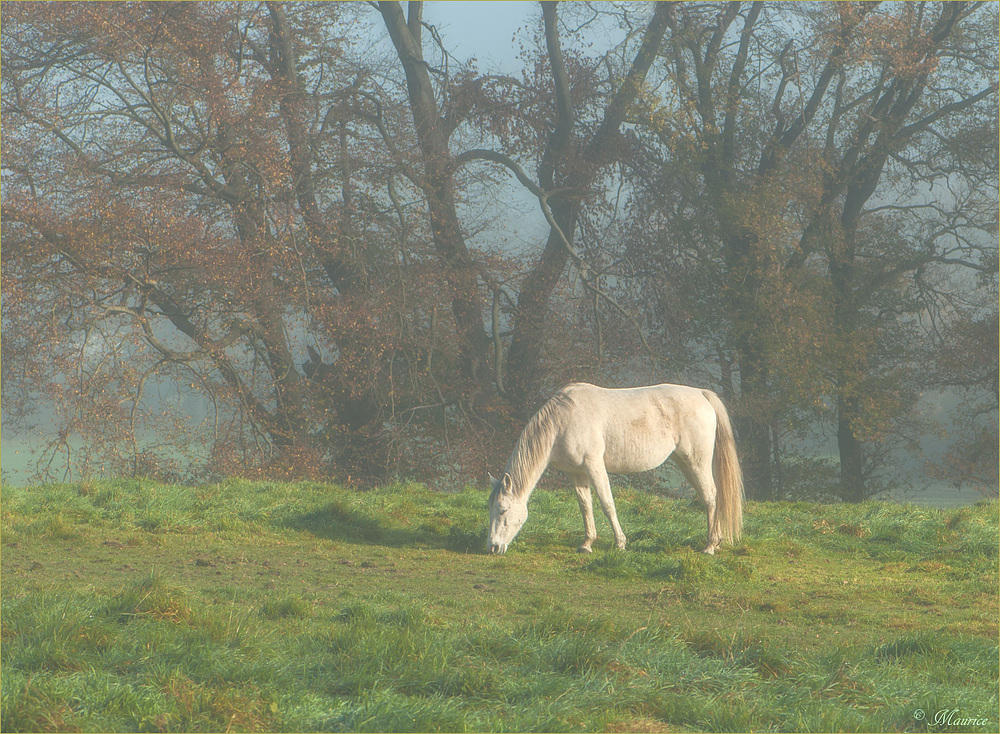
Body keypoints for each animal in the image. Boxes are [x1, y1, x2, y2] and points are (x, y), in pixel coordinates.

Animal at [488, 386, 748, 556]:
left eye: (502, 511)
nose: (492, 547)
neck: (563, 420)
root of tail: (701, 394)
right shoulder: (576, 473)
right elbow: (585, 506)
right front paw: (587, 544)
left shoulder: (594, 465)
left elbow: (607, 504)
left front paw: (620, 543)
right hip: (685, 463)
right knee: (708, 497)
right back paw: (716, 541)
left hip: (696, 461)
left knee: (711, 497)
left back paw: (710, 546)